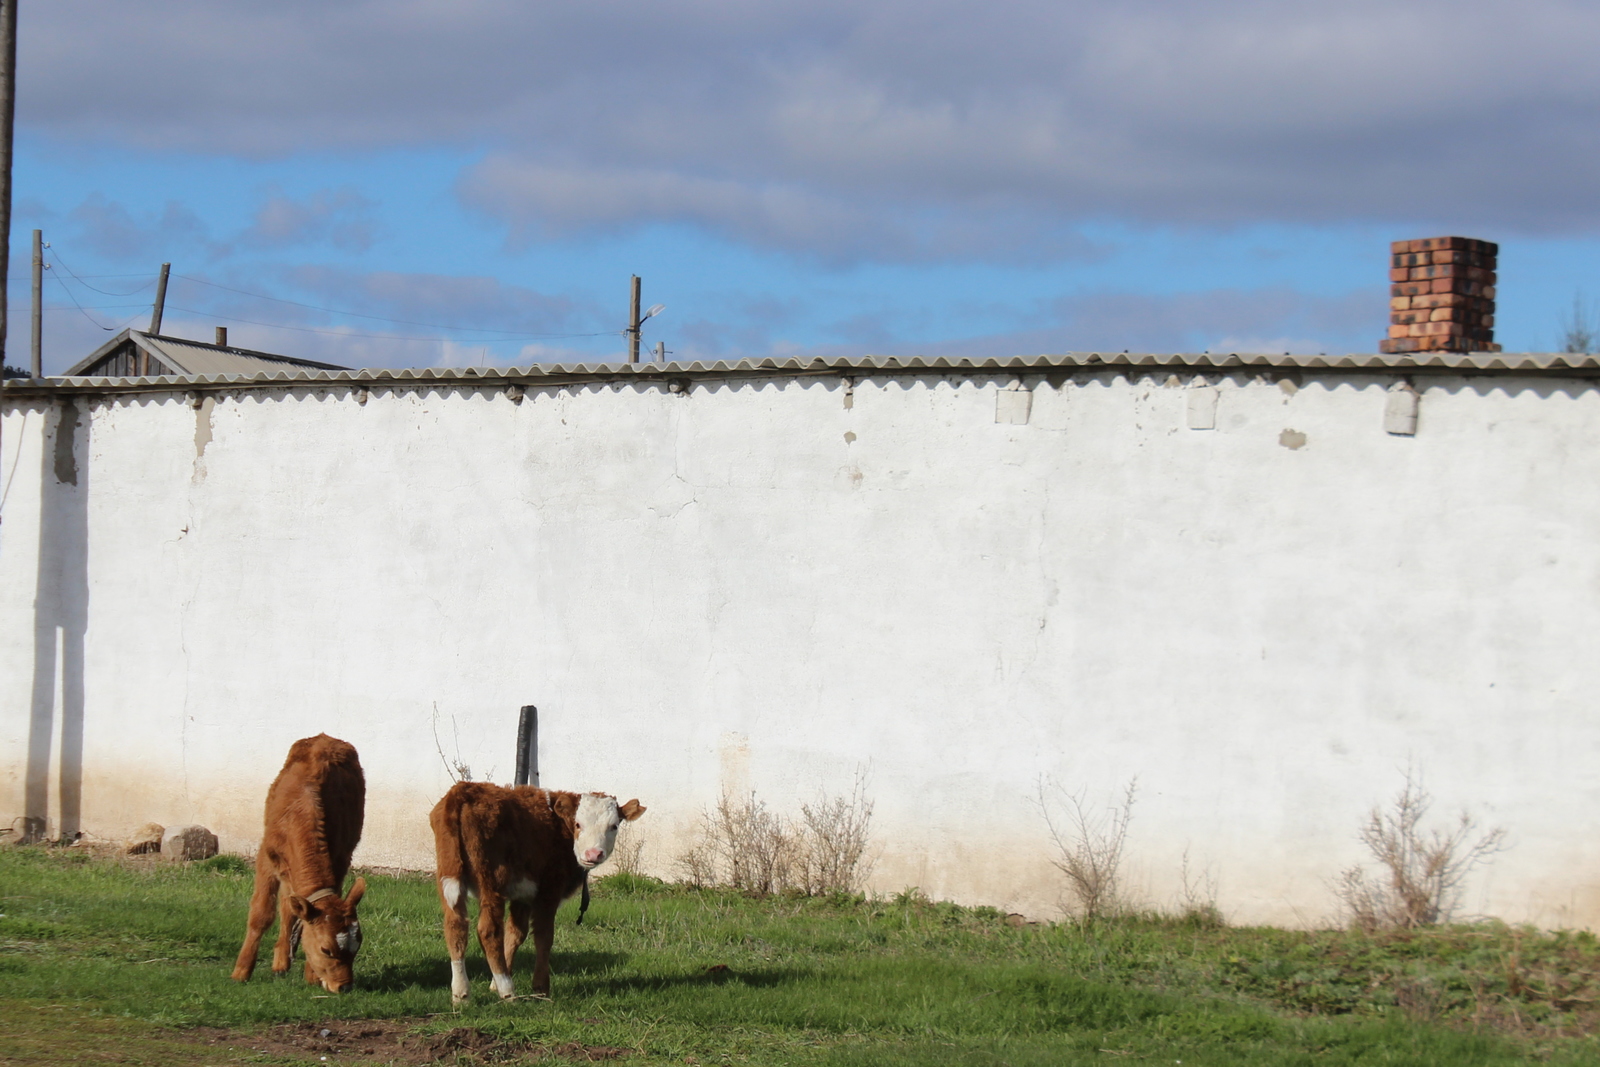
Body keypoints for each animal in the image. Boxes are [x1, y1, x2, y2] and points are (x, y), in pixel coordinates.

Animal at [232, 735, 368, 991]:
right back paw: (279, 963)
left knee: (289, 906)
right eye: (326, 949)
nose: (344, 986)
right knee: (286, 905)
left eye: (357, 946)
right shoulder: (266, 856)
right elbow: (261, 914)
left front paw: (311, 975)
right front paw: (241, 971)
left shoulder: (339, 859)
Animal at [432, 783, 649, 1004]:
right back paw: (507, 990)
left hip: (448, 873)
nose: (593, 854)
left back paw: (461, 993)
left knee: (455, 926)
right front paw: (540, 988)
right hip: (491, 883)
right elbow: (544, 937)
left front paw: (493, 984)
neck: (559, 828)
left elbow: (515, 934)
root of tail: (463, 789)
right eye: (578, 824)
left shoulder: (522, 896)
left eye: (614, 826)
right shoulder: (549, 892)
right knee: (489, 931)